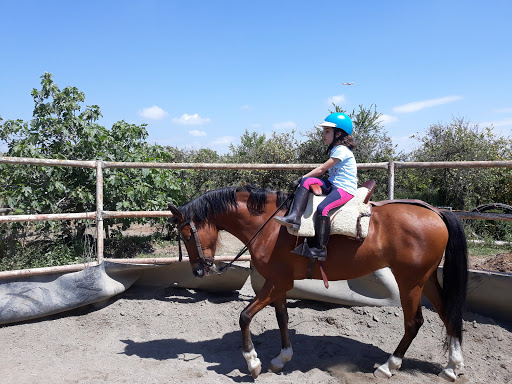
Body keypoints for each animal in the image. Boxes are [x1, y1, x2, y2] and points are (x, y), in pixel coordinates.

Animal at [169, 184, 468, 380]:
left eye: (187, 235)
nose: (198, 272)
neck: (271, 225)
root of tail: (436, 212)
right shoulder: (279, 283)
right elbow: (282, 318)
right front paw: (281, 358)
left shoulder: (276, 283)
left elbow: (244, 316)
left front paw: (252, 362)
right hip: (426, 279)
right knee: (448, 314)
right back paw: (452, 366)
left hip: (410, 282)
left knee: (414, 322)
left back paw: (389, 365)